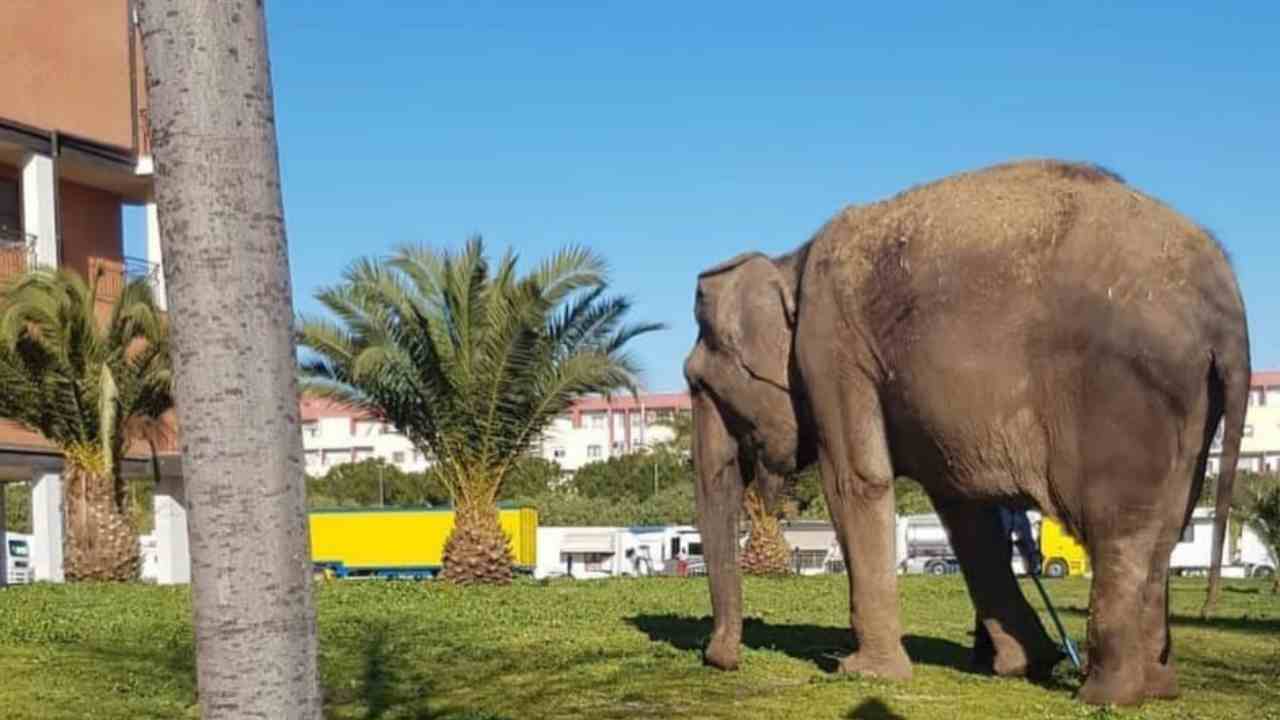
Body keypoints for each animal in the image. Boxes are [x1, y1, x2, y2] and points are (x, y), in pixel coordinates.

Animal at [686, 155, 1244, 702]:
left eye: (697, 383)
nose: (721, 658)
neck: (791, 261)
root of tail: (1227, 314)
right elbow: (964, 509)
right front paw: (1024, 664)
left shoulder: (832, 350)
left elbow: (857, 481)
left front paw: (865, 674)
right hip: (1191, 409)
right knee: (1166, 529)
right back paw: (1159, 688)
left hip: (1125, 395)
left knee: (1119, 530)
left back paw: (1106, 695)